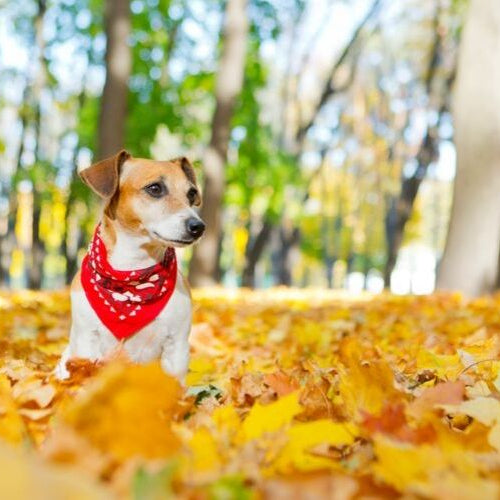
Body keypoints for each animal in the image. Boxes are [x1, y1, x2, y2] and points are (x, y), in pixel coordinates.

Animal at [56, 149, 207, 382]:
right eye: (155, 188)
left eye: (191, 194)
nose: (198, 227)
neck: (132, 272)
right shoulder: (85, 341)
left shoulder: (177, 347)